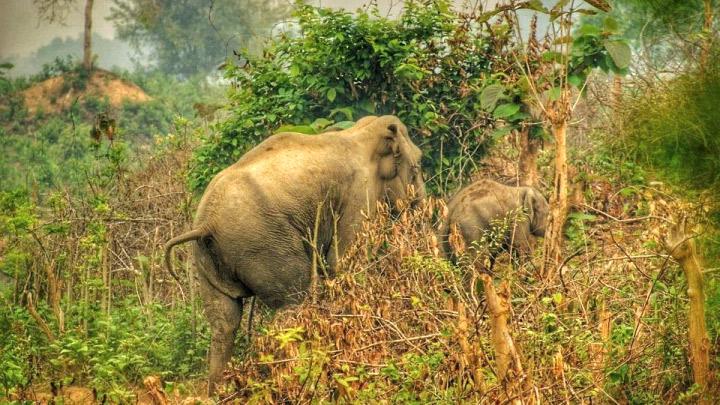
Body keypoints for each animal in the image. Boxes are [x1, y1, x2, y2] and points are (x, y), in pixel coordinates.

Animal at [165, 114, 422, 394]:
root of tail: (205, 224)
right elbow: (344, 264)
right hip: (264, 243)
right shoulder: (359, 195)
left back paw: (220, 393)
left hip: (208, 259)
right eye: (418, 165)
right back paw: (298, 381)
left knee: (224, 322)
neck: (362, 132)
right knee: (291, 304)